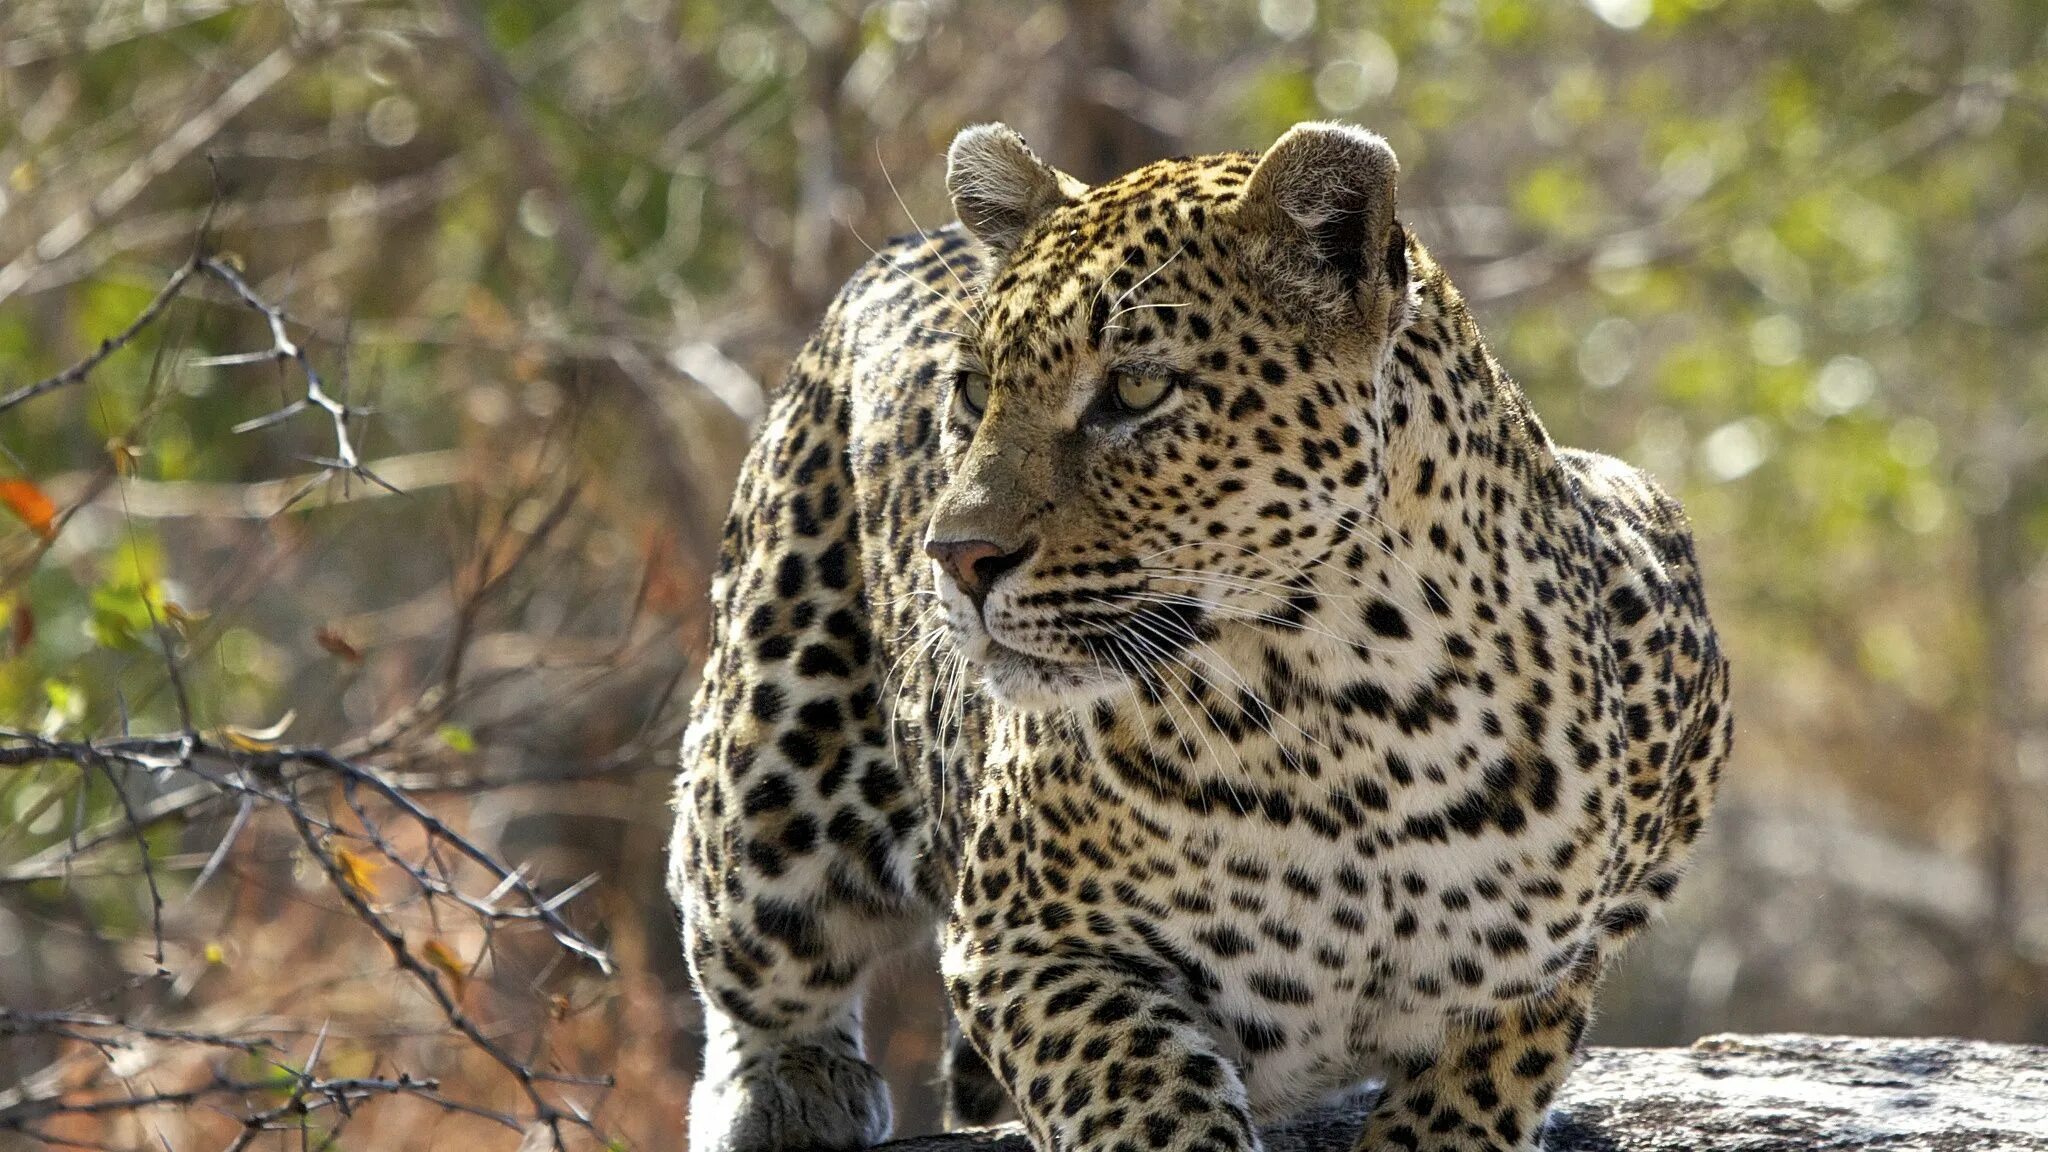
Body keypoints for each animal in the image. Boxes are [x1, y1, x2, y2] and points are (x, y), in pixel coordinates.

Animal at [671, 118, 1728, 1147]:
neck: (1351, 718)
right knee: (743, 935)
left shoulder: (1550, 960)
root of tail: (908, 243)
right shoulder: (1026, 944)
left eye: (1136, 390)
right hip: (769, 755)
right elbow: (1148, 1105)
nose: (955, 555)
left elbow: (1477, 1090)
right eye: (972, 390)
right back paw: (788, 1093)